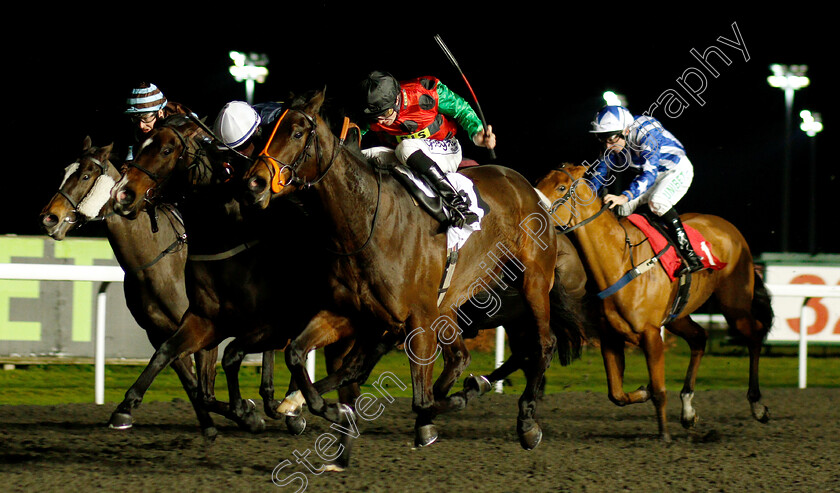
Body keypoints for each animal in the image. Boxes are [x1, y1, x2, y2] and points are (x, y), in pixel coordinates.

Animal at [240, 89, 588, 450]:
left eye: (297, 133)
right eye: (265, 133)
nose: (254, 183)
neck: (368, 221)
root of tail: (528, 189)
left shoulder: (416, 318)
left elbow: (418, 398)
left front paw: (451, 403)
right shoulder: (349, 312)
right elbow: (299, 353)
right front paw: (305, 404)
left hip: (532, 282)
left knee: (543, 344)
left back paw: (526, 421)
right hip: (452, 304)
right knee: (462, 357)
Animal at [536, 163, 772, 440]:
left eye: (562, 187)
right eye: (539, 181)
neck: (619, 260)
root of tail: (728, 227)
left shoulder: (650, 334)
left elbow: (659, 391)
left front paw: (664, 435)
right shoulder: (610, 337)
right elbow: (616, 394)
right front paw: (644, 391)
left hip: (734, 305)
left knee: (754, 335)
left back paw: (757, 405)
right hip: (678, 316)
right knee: (699, 338)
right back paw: (688, 410)